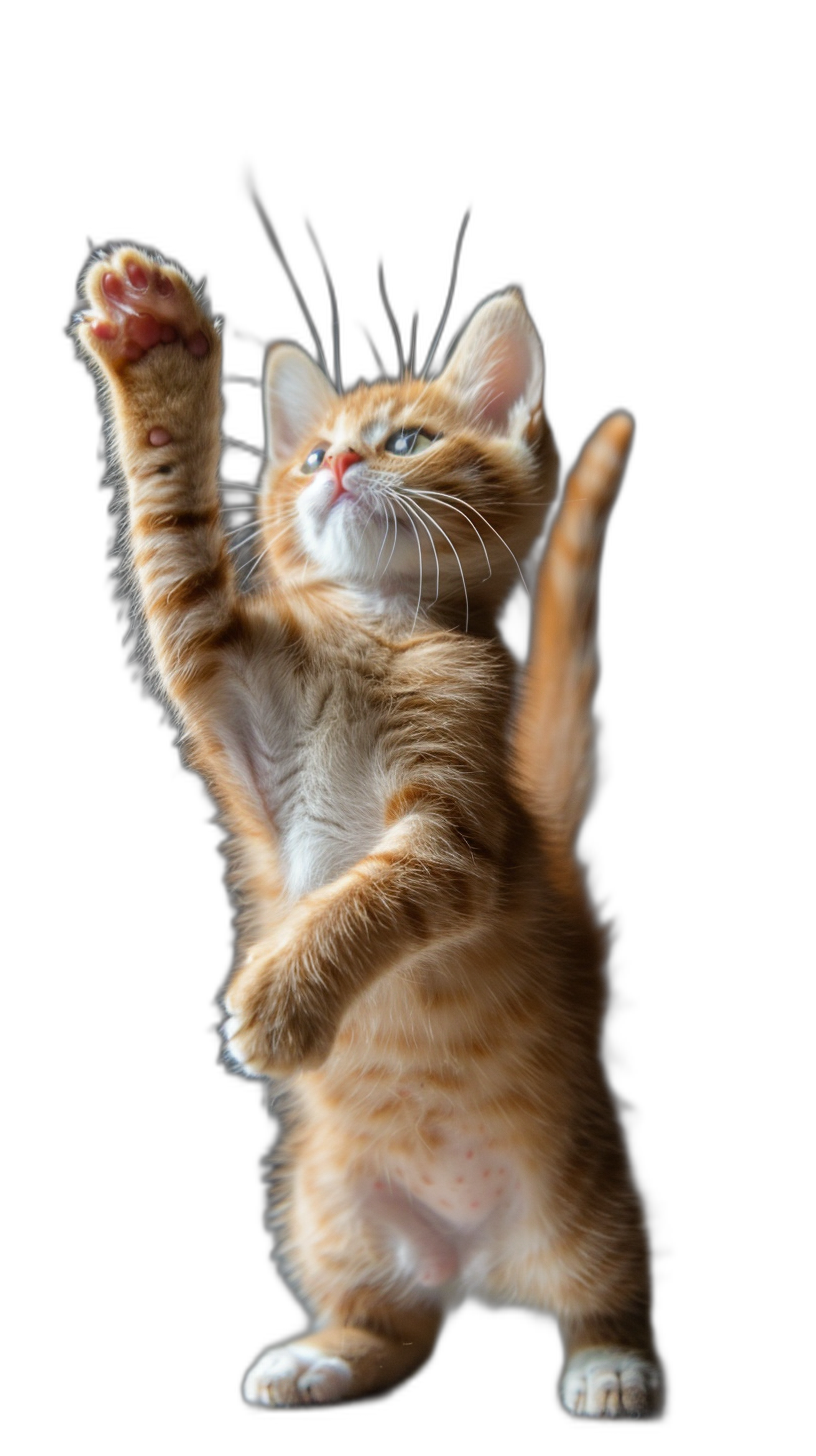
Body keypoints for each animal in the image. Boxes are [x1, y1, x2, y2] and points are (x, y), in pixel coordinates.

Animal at [75, 244, 664, 1415]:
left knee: (603, 1277)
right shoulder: (222, 689)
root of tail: (472, 1259)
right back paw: (326, 1352)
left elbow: (374, 892)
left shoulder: (458, 826)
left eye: (406, 440)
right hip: (320, 1200)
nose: (340, 461)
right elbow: (175, 560)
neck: (373, 630)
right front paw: (159, 349)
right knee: (400, 1327)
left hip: (586, 1191)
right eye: (309, 453)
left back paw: (614, 1364)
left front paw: (283, 1001)